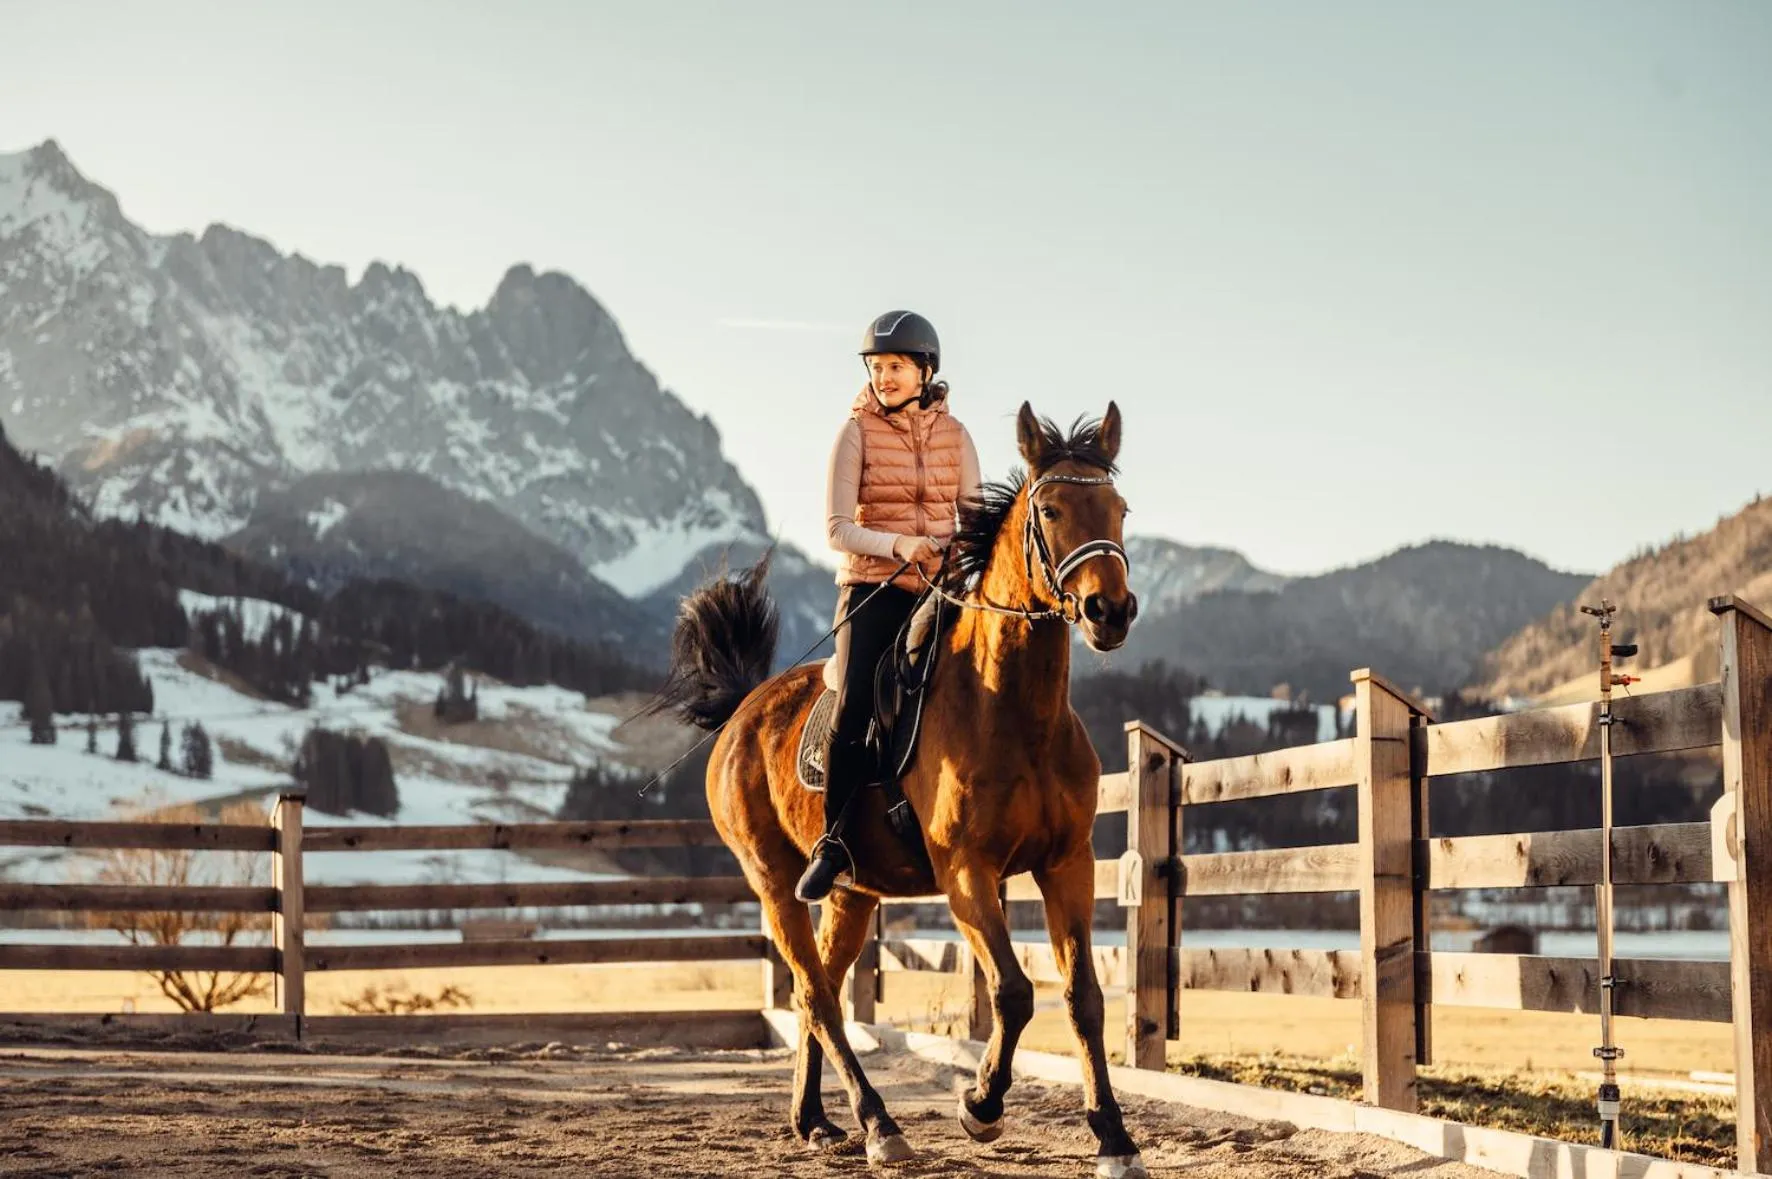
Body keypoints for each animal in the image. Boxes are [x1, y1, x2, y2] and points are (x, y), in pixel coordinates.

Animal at [650, 401, 1145, 1178]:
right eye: (1052, 508)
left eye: (1119, 509)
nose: (1109, 611)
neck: (1012, 709)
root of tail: (741, 712)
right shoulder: (967, 872)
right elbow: (1012, 991)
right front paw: (980, 1107)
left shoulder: (1068, 864)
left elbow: (1083, 998)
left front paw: (1114, 1138)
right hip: (775, 882)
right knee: (817, 995)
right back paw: (879, 1124)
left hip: (852, 893)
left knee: (820, 991)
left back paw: (817, 1121)